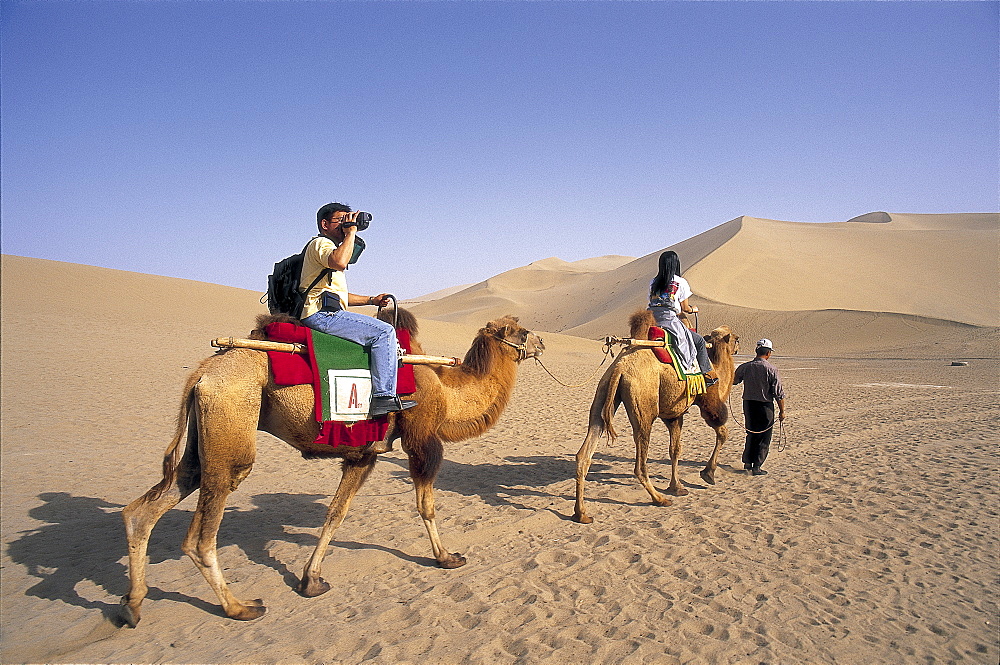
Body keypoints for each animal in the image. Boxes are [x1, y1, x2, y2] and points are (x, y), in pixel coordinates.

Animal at [121, 310, 544, 624]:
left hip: (203, 436)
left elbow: (336, 513)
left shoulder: (365, 453)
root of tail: (202, 372)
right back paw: (239, 607)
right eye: (522, 332)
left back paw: (133, 604)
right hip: (231, 426)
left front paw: (311, 580)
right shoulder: (421, 441)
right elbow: (426, 506)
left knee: (153, 501)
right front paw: (446, 558)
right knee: (202, 533)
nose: (542, 343)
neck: (448, 391)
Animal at [576, 312, 740, 524]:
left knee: (584, 453)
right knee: (640, 463)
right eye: (736, 338)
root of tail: (619, 368)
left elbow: (675, 450)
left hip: (602, 394)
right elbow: (722, 431)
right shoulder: (708, 402)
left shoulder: (674, 414)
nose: (739, 346)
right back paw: (659, 499)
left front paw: (677, 486)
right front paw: (708, 474)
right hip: (644, 408)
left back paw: (581, 513)